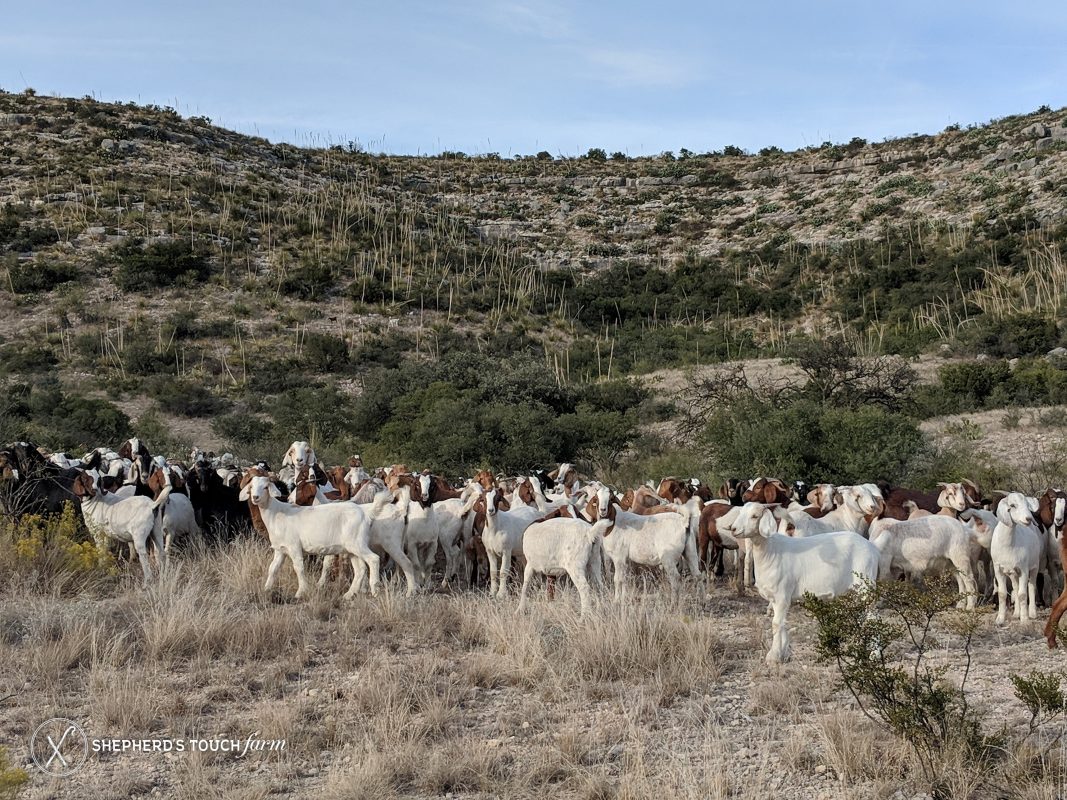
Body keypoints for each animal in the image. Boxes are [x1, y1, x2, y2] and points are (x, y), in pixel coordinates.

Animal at [240, 475, 381, 601]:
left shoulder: (294, 547)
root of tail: (365, 513)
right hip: (351, 548)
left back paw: (375, 590)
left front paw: (301, 592)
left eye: (265, 487)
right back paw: (349, 594)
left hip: (357, 543)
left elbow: (298, 568)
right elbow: (273, 569)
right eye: (251, 487)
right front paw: (266, 589)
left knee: (374, 559)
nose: (255, 497)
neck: (276, 513)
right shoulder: (280, 550)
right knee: (360, 569)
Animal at [721, 503, 879, 665]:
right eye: (741, 513)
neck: (770, 550)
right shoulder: (776, 599)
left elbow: (776, 624)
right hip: (854, 591)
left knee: (873, 618)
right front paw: (784, 653)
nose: (734, 529)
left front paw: (774, 657)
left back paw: (875, 655)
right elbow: (782, 623)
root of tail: (872, 548)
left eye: (754, 516)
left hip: (865, 585)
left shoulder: (782, 595)